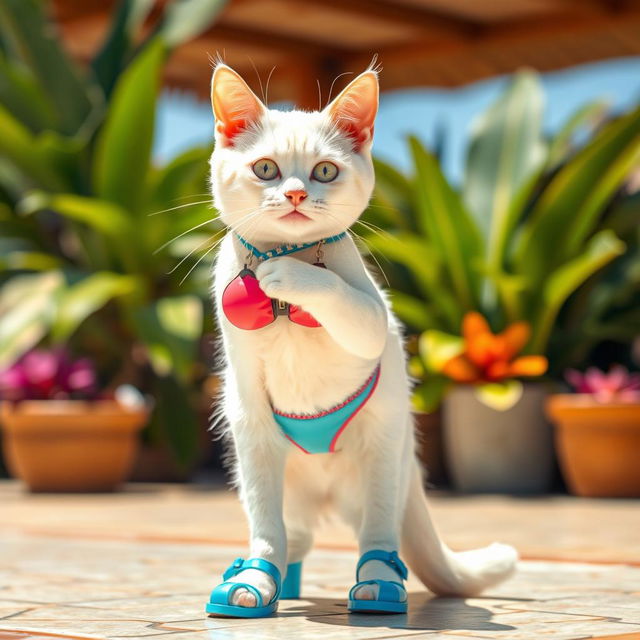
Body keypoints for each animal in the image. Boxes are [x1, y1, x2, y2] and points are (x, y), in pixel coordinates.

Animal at [208, 63, 516, 616]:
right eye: (265, 169)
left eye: (325, 172)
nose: (295, 194)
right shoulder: (244, 388)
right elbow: (268, 530)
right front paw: (256, 586)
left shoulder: (373, 317)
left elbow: (332, 291)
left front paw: (287, 276)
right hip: (258, 458)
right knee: (282, 534)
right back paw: (262, 580)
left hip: (381, 458)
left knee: (378, 535)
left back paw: (378, 586)